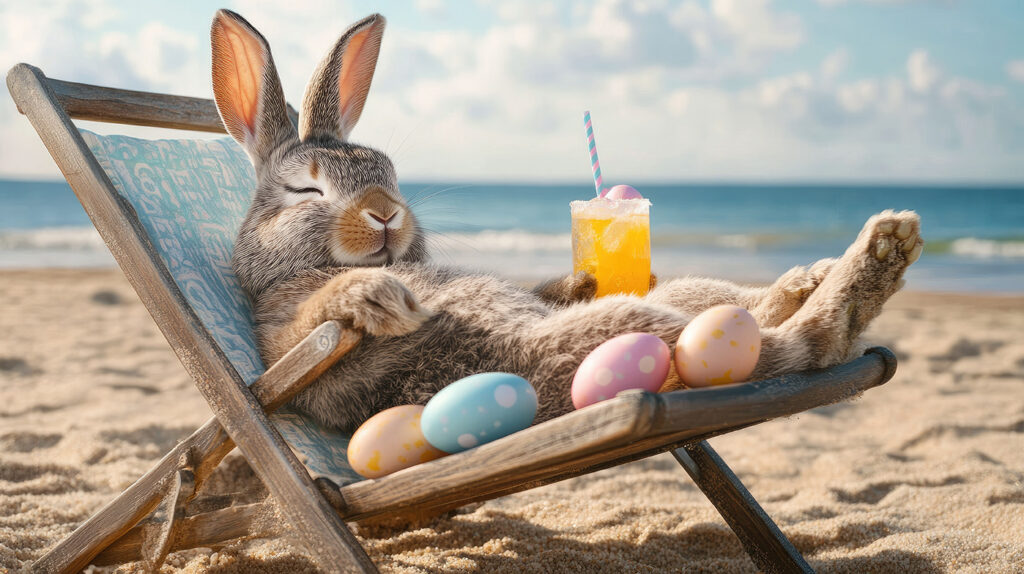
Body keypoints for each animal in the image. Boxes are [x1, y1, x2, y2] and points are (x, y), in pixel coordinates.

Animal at [212, 10, 923, 433]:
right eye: (306, 189)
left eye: (389, 173)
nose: (386, 213)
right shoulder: (287, 330)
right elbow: (319, 323)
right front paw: (380, 296)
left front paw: (574, 280)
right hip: (623, 334)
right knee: (804, 345)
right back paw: (871, 260)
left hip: (664, 303)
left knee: (753, 312)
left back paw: (811, 276)